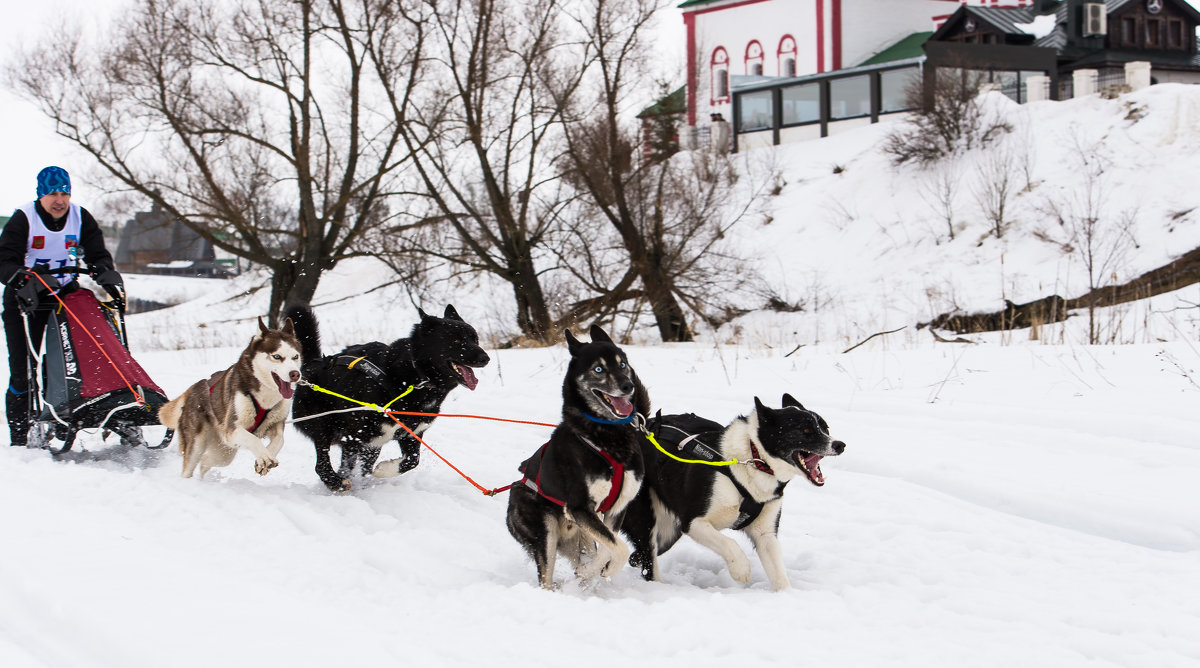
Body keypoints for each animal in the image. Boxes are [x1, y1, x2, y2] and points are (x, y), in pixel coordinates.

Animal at [159, 319, 302, 479]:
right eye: (277, 356)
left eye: (295, 356)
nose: (295, 374)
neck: (265, 399)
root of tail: (193, 388)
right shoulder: (232, 429)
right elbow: (253, 439)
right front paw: (264, 457)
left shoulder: (276, 424)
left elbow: (280, 440)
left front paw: (264, 458)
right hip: (197, 444)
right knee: (189, 467)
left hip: (224, 452)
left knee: (205, 461)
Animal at [283, 304, 489, 491]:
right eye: (456, 339)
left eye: (475, 338)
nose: (486, 358)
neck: (415, 377)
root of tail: (312, 364)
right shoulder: (354, 435)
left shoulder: (411, 434)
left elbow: (412, 461)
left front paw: (383, 470)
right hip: (324, 426)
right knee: (322, 465)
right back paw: (336, 483)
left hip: (372, 443)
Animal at [508, 326, 657, 585]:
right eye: (598, 369)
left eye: (622, 364)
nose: (628, 386)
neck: (607, 437)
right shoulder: (579, 508)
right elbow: (619, 547)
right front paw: (594, 570)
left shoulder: (615, 509)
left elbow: (610, 544)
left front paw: (595, 570)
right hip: (545, 532)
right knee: (545, 579)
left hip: (579, 535)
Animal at [624, 395, 849, 587]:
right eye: (805, 430)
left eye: (826, 427)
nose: (840, 445)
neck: (755, 459)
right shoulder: (694, 523)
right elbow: (730, 543)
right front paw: (741, 570)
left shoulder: (766, 534)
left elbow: (779, 576)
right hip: (648, 521)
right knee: (649, 563)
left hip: (668, 533)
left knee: (638, 557)